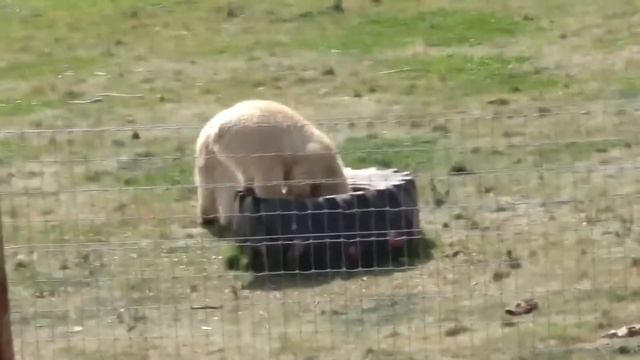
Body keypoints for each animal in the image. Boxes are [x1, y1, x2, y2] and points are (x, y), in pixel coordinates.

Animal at [195, 98, 350, 228]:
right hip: (255, 143)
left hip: (206, 150)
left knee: (208, 181)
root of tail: (217, 131)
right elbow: (298, 180)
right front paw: (295, 194)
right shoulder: (310, 161)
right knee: (263, 177)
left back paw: (208, 217)